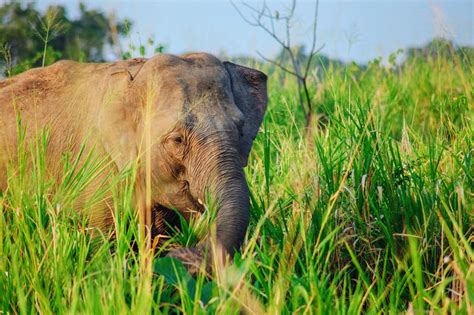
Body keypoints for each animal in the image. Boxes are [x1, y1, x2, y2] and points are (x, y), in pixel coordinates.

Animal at [0, 53, 266, 270]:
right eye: (177, 139)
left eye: (240, 129)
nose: (182, 256)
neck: (135, 74)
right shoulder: (97, 169)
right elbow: (101, 245)